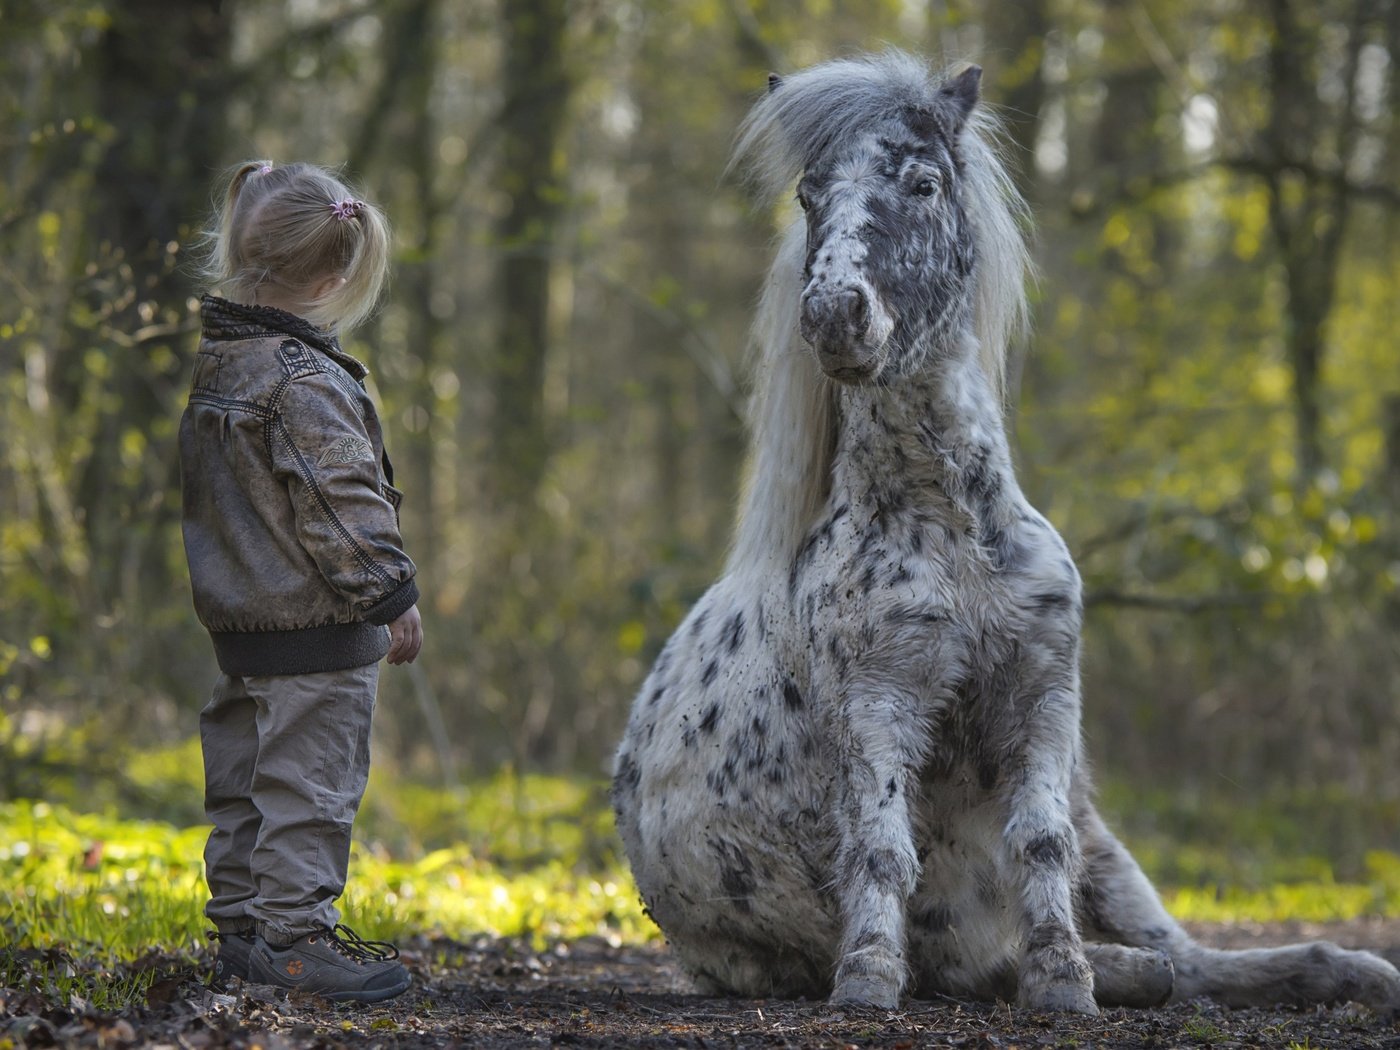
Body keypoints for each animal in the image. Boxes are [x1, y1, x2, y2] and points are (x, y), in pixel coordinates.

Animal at [613, 51, 1400, 1019]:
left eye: (922, 182)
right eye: (808, 195)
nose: (834, 313)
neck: (950, 529)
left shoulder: (1044, 699)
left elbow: (1041, 843)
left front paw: (1064, 980)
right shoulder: (880, 705)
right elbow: (882, 849)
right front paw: (869, 981)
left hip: (1108, 844)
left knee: (1184, 953)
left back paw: (1345, 972)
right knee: (1070, 964)